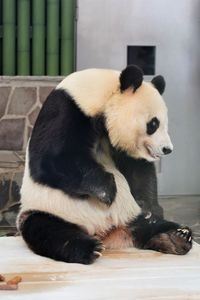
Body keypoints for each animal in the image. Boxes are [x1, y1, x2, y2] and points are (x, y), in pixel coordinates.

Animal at [16, 65, 192, 264]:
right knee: (47, 230)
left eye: (165, 124)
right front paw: (107, 190)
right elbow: (51, 159)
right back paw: (87, 248)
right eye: (153, 124)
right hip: (49, 210)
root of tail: (106, 234)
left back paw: (176, 237)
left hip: (131, 215)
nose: (167, 149)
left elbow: (138, 171)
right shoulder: (65, 110)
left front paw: (149, 206)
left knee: (150, 225)